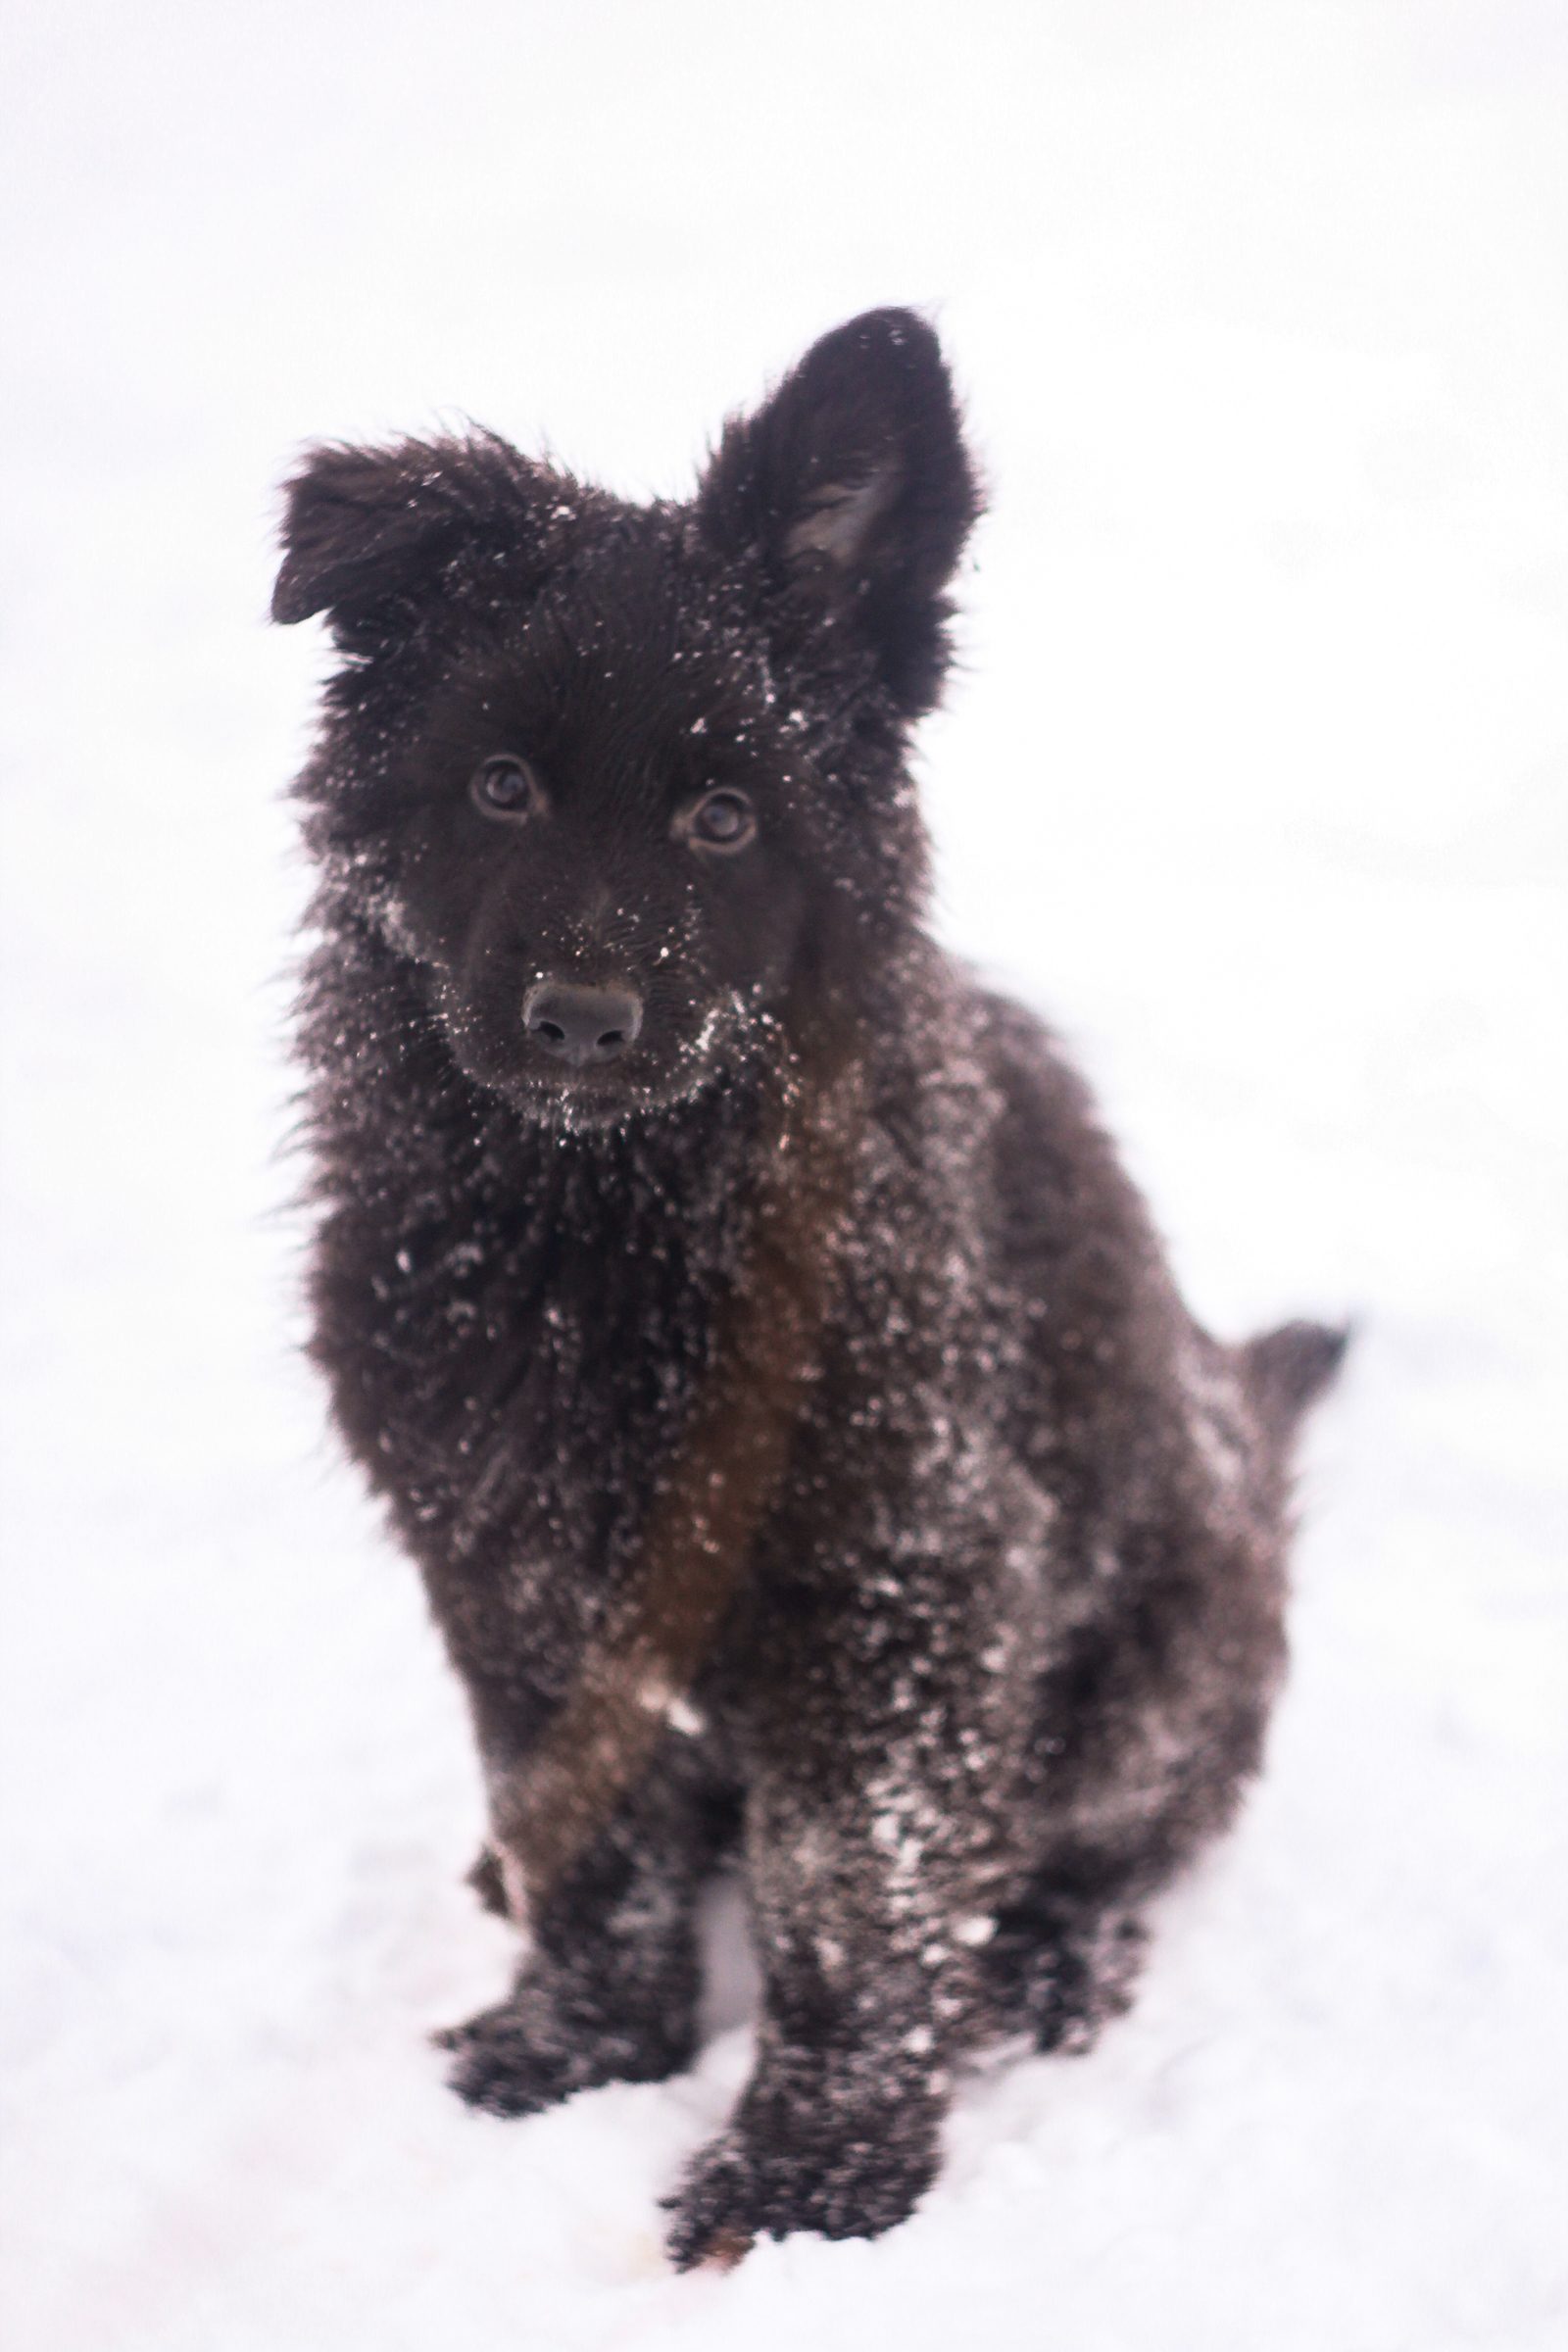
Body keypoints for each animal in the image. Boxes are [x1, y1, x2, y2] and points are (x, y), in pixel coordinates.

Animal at [275, 313, 1345, 2258]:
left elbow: (858, 1892)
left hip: (1158, 1670)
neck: (608, 1230)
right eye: (498, 785)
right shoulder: (513, 1568)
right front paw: (578, 2044)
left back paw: (1049, 1965)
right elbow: (594, 1835)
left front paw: (817, 2171)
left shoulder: (900, 1581)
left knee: (1103, 1847)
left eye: (722, 816)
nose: (584, 1022)